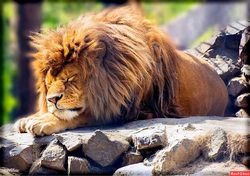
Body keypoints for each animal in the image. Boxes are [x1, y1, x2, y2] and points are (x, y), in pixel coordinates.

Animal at [14, 4, 228, 135]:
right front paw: (33, 117)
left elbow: (80, 115)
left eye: (70, 78)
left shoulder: (129, 109)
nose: (51, 99)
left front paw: (43, 121)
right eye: (48, 83)